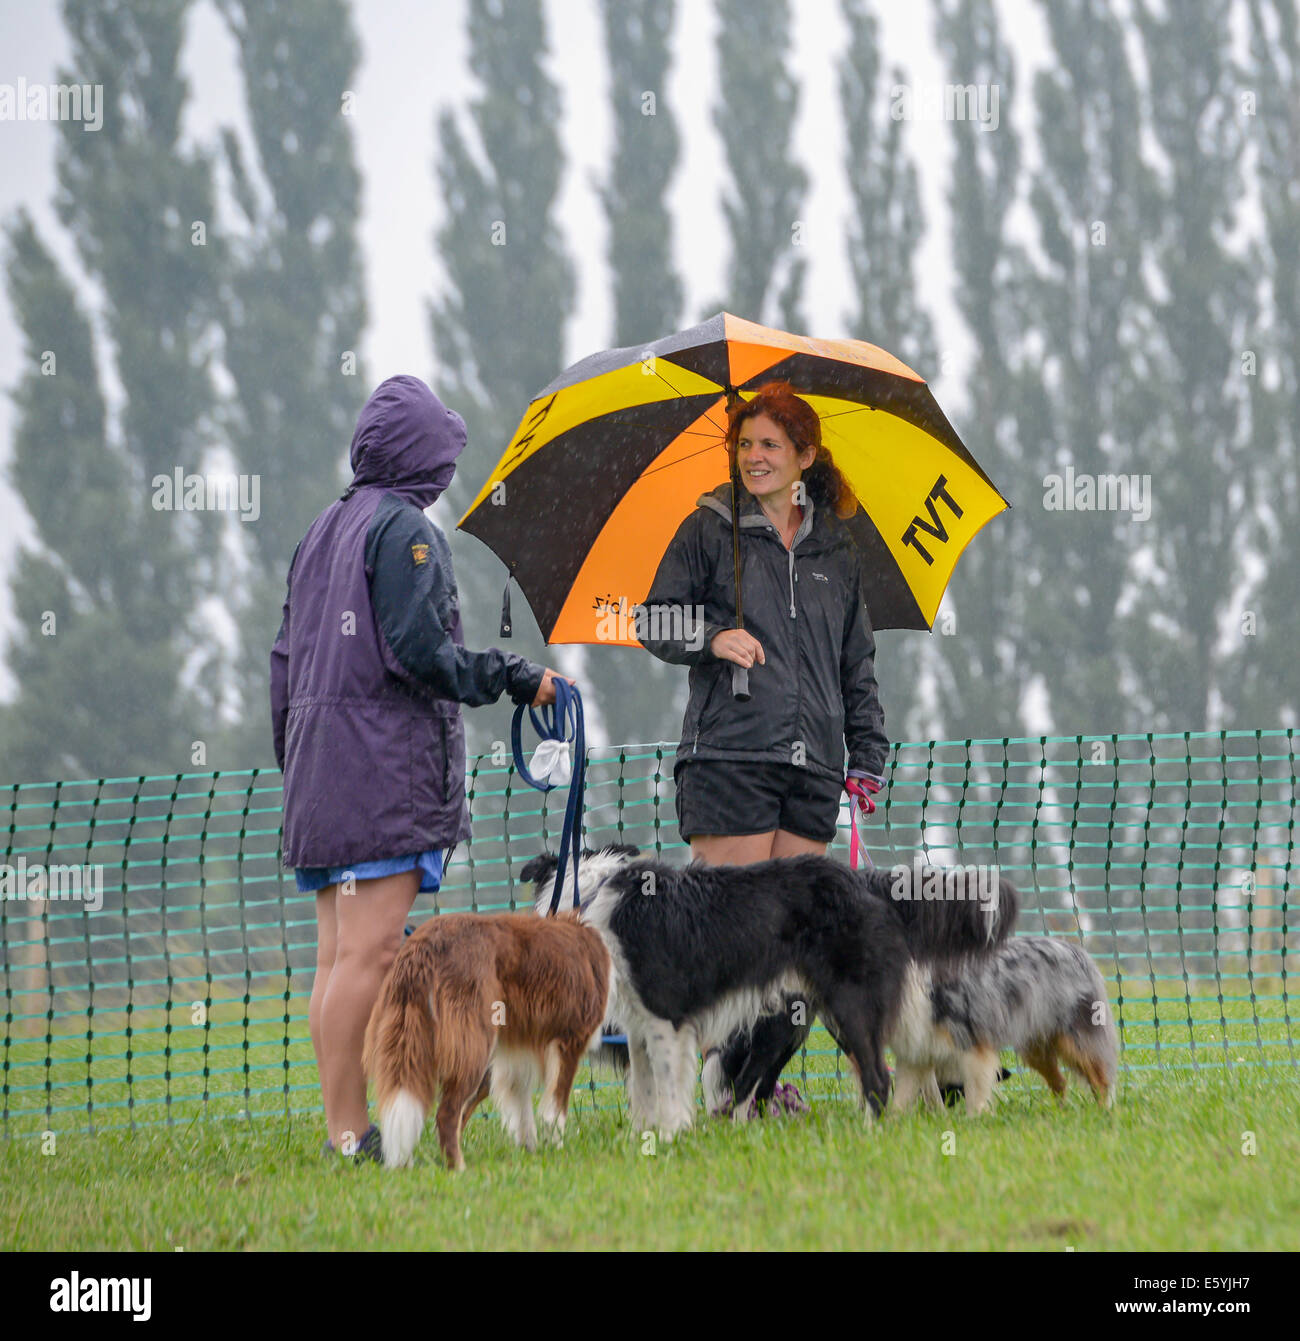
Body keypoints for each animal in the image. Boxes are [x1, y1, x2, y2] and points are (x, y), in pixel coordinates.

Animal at [362, 906, 611, 1169]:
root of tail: (422, 946)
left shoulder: (517, 1050)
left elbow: (521, 1106)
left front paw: (530, 1153)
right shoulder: (570, 1039)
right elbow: (556, 1108)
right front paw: (557, 1151)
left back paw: (408, 1163)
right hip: (474, 1043)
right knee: (447, 1112)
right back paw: (457, 1167)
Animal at [525, 847, 1014, 1131]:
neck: (593, 896)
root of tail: (866, 880)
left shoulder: (667, 1020)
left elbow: (669, 1090)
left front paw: (671, 1138)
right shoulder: (639, 1027)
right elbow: (645, 1092)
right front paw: (642, 1140)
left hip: (849, 1002)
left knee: (877, 1077)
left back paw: (869, 1133)